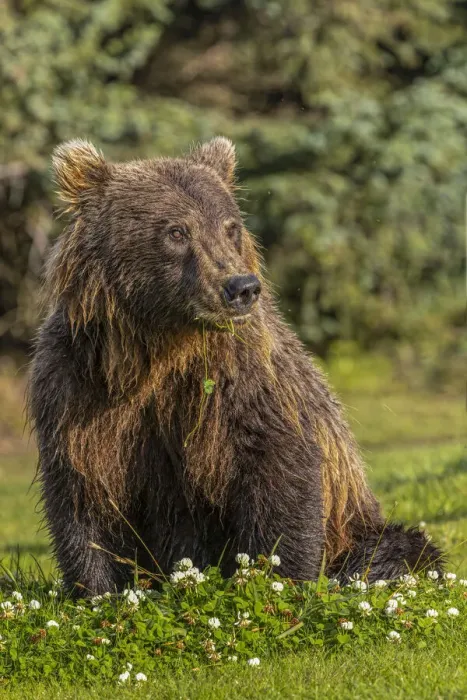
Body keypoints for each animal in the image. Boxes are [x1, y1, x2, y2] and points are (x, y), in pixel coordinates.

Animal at [28, 137, 442, 595]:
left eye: (230, 227)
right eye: (177, 231)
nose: (241, 287)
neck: (159, 348)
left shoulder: (242, 380)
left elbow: (279, 466)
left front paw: (277, 577)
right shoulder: (78, 388)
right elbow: (84, 492)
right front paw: (100, 589)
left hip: (358, 525)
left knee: (395, 551)